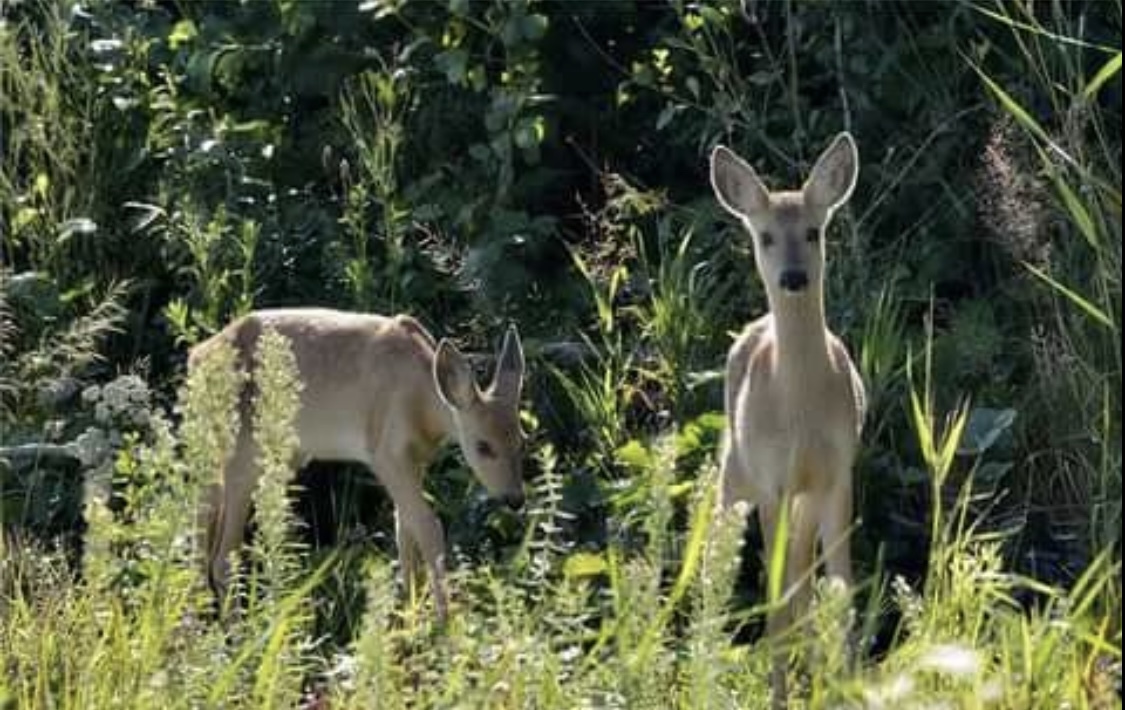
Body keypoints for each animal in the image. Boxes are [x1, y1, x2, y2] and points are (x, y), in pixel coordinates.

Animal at [192, 308, 526, 621]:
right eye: (483, 446)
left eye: (522, 439)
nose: (515, 499)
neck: (422, 404)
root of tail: (197, 358)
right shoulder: (386, 453)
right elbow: (427, 526)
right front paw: (446, 624)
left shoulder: (415, 461)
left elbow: (403, 533)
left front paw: (411, 621)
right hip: (242, 454)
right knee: (222, 558)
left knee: (200, 537)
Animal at [706, 134, 864, 710]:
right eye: (766, 235)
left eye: (814, 232)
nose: (793, 277)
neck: (799, 411)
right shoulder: (773, 481)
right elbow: (775, 600)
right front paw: (781, 694)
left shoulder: (837, 473)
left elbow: (840, 589)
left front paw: (848, 685)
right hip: (736, 474)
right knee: (721, 567)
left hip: (802, 499)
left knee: (802, 578)